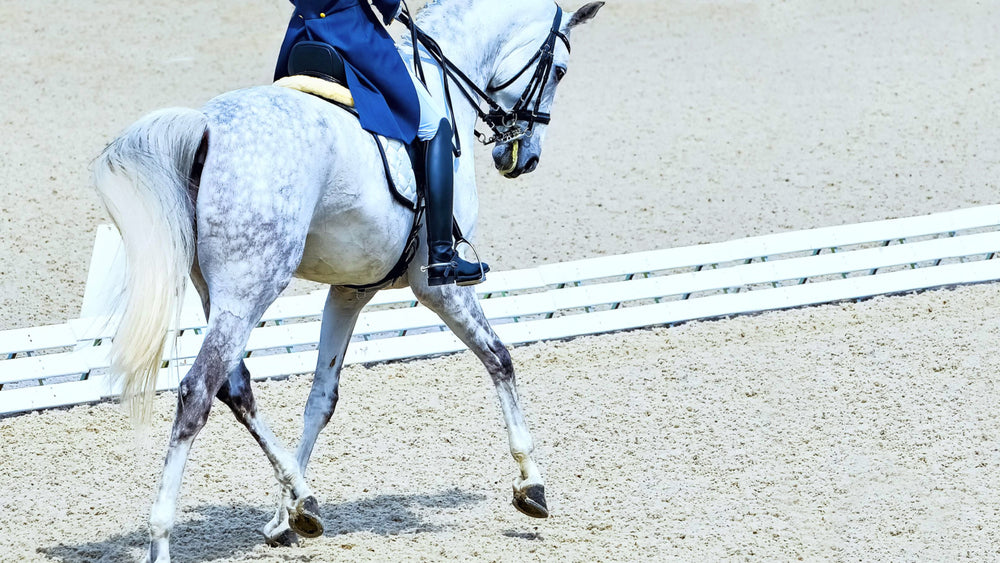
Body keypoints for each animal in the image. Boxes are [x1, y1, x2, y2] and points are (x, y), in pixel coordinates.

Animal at [95, 0, 600, 560]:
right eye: (559, 71)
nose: (522, 158)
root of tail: (206, 125)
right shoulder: (438, 288)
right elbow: (500, 358)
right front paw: (531, 483)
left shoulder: (351, 290)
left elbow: (321, 397)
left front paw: (284, 517)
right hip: (252, 286)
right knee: (197, 392)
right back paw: (162, 536)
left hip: (219, 291)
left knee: (236, 387)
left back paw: (304, 498)